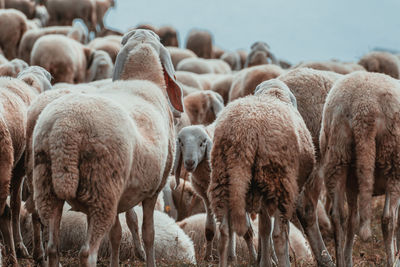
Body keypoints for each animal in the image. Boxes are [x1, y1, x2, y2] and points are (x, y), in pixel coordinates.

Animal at [32, 29, 184, 267]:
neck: (141, 78)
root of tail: (65, 129)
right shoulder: (153, 190)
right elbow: (148, 234)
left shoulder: (119, 197)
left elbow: (117, 235)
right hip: (102, 189)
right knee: (87, 252)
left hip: (49, 185)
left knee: (52, 247)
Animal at [209, 80, 334, 267]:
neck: (273, 93)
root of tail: (246, 132)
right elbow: (274, 230)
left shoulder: (262, 193)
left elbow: (264, 228)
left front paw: (265, 261)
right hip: (280, 182)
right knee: (280, 235)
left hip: (222, 178)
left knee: (223, 232)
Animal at [318, 71, 400, 267]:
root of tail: (365, 106)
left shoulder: (353, 184)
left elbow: (353, 221)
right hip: (392, 158)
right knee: (388, 219)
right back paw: (391, 261)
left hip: (337, 156)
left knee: (339, 216)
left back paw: (342, 261)